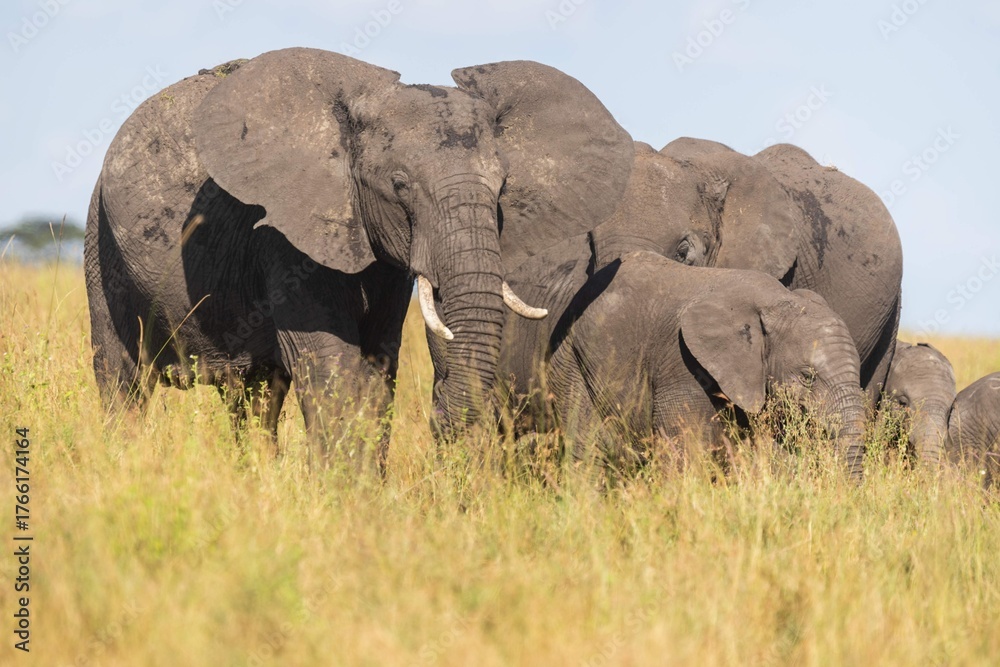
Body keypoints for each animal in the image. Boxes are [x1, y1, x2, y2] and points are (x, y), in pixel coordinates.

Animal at [84, 49, 637, 464]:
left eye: (503, 188)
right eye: (399, 185)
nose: (440, 416)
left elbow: (376, 372)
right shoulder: (284, 236)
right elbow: (331, 368)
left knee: (254, 398)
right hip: (100, 240)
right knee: (122, 380)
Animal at [500, 249, 868, 478]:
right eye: (808, 377)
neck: (777, 301)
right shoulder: (682, 363)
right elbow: (689, 454)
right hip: (571, 359)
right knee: (587, 451)